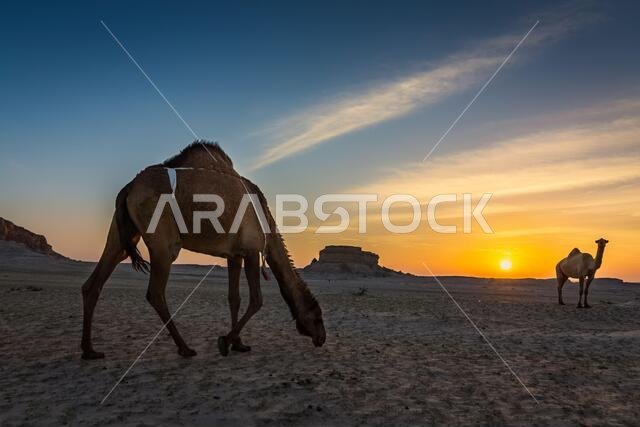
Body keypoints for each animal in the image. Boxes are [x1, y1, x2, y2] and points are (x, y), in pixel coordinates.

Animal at [81, 141, 326, 359]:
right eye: (317, 316)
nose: (322, 338)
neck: (266, 221)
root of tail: (129, 188)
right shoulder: (251, 250)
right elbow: (257, 300)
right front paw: (225, 342)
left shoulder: (235, 255)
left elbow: (234, 297)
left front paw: (238, 344)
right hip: (163, 242)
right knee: (155, 293)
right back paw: (185, 348)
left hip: (122, 234)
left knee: (95, 281)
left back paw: (89, 351)